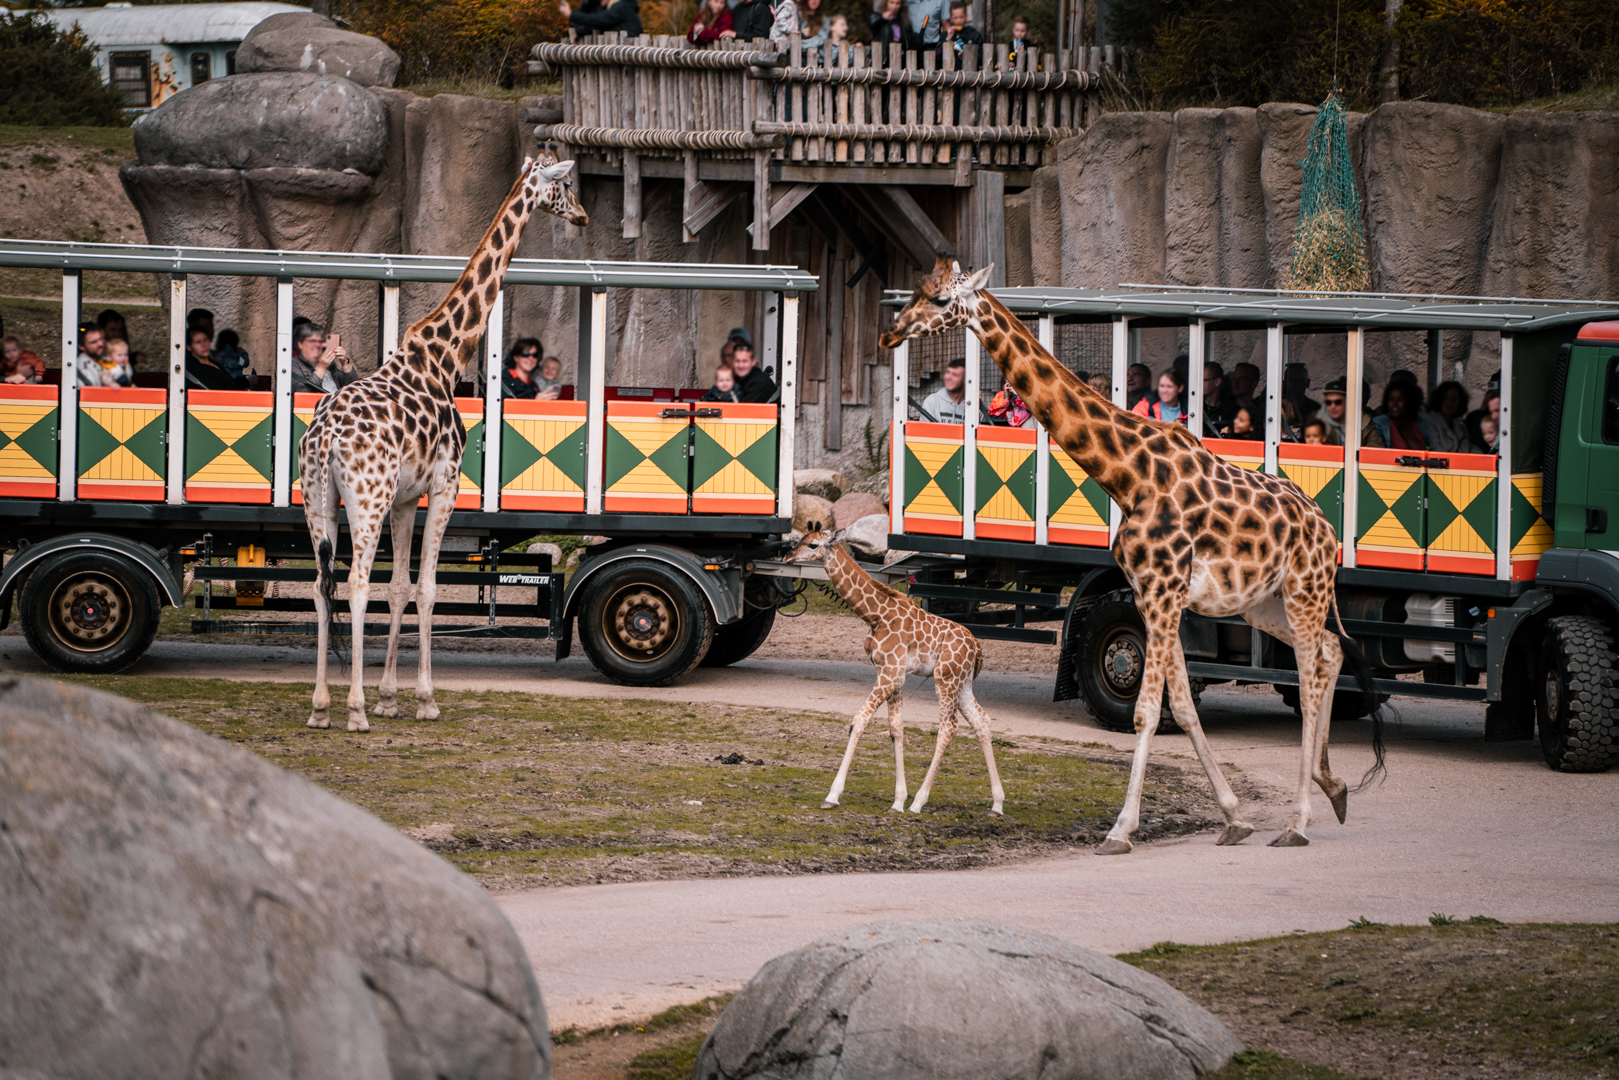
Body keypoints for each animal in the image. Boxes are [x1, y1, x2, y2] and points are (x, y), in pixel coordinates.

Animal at [299, 151, 587, 732]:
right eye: (565, 184)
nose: (583, 216)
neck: (445, 357)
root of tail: (324, 438)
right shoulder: (446, 483)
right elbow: (427, 587)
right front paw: (424, 699)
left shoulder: (405, 497)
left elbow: (400, 586)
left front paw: (390, 697)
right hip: (364, 499)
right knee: (355, 584)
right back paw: (353, 710)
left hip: (318, 500)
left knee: (322, 587)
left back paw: (320, 708)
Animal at [784, 523, 1006, 816]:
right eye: (800, 539)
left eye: (813, 545)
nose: (787, 557)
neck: (875, 615)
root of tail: (977, 648)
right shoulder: (891, 673)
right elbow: (896, 728)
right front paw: (898, 800)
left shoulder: (889, 672)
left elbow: (858, 721)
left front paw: (832, 795)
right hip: (963, 681)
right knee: (981, 720)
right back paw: (997, 804)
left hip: (946, 677)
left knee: (948, 727)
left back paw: (919, 802)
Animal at [880, 258, 1385, 852]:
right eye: (917, 289)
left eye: (940, 300)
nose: (890, 332)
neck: (1127, 475)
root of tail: (1326, 528)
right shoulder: (1152, 594)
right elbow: (1183, 708)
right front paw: (1233, 817)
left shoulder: (1164, 592)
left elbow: (1146, 712)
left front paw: (1121, 829)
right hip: (1265, 602)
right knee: (1331, 651)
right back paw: (1335, 788)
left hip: (1304, 590)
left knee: (1310, 675)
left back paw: (1298, 823)